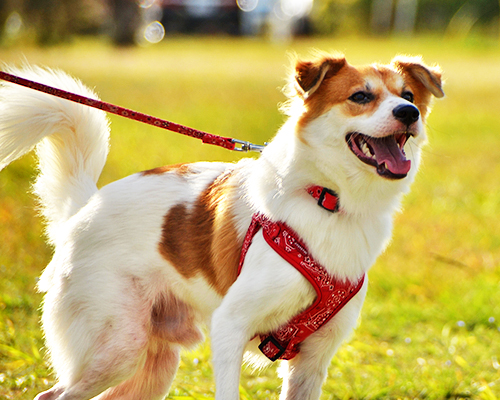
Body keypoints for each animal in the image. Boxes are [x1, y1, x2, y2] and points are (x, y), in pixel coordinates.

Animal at [0, 53, 444, 400]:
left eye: (407, 96)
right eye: (361, 97)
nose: (409, 114)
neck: (328, 198)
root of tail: (84, 207)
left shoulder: (314, 357)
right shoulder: (230, 324)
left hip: (153, 366)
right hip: (118, 345)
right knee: (50, 395)